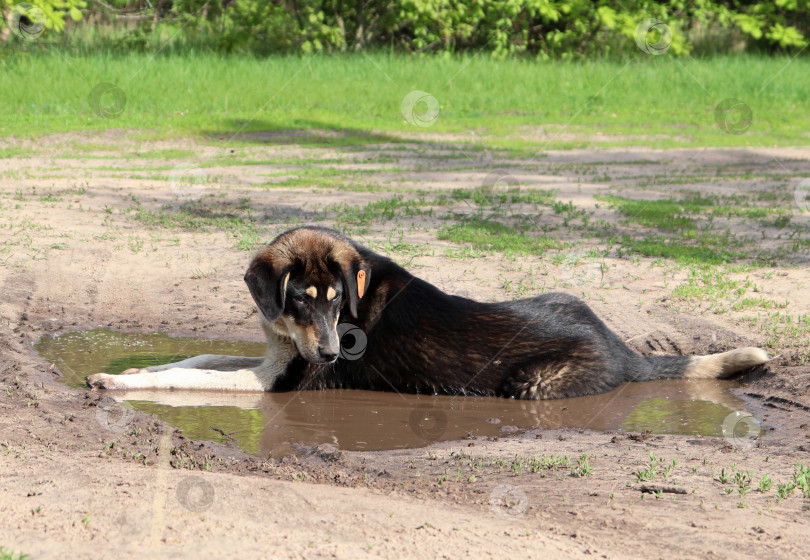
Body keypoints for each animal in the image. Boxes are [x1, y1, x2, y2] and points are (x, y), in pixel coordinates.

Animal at [85, 225, 768, 400]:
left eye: (338, 303)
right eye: (301, 299)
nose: (331, 353)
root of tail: (627, 350)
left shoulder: (277, 381)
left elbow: (193, 375)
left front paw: (119, 380)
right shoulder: (278, 355)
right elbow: (195, 357)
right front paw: (136, 370)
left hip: (531, 384)